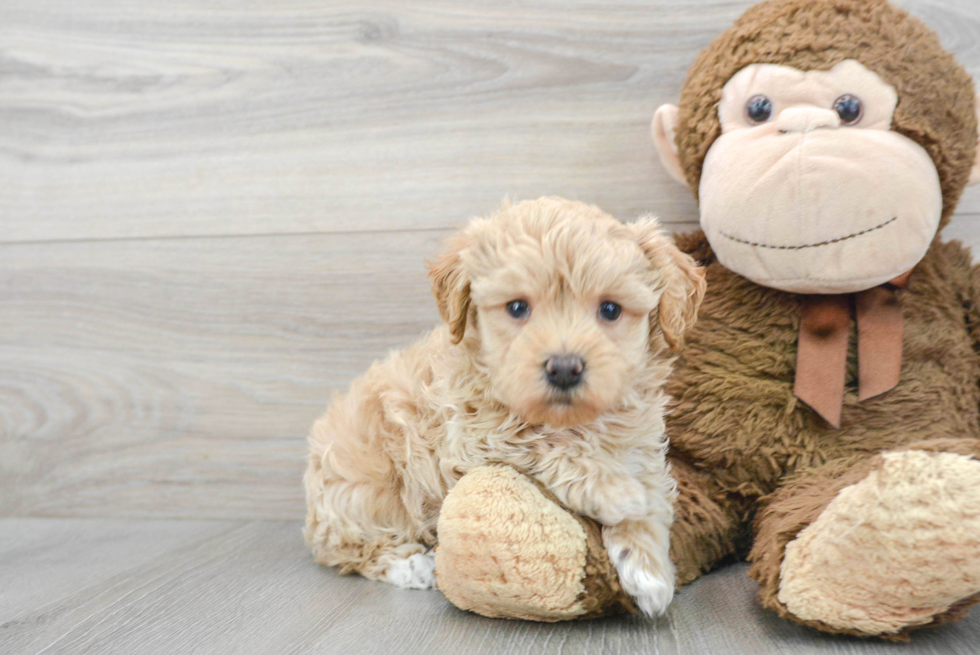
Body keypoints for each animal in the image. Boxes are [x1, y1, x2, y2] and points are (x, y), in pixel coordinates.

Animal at [306, 197, 704, 616]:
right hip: (361, 492)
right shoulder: (470, 435)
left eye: (610, 310)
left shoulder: (640, 446)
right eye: (516, 308)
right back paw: (411, 564)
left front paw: (648, 569)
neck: (574, 419)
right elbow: (545, 442)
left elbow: (652, 499)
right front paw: (617, 493)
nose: (565, 368)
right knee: (346, 549)